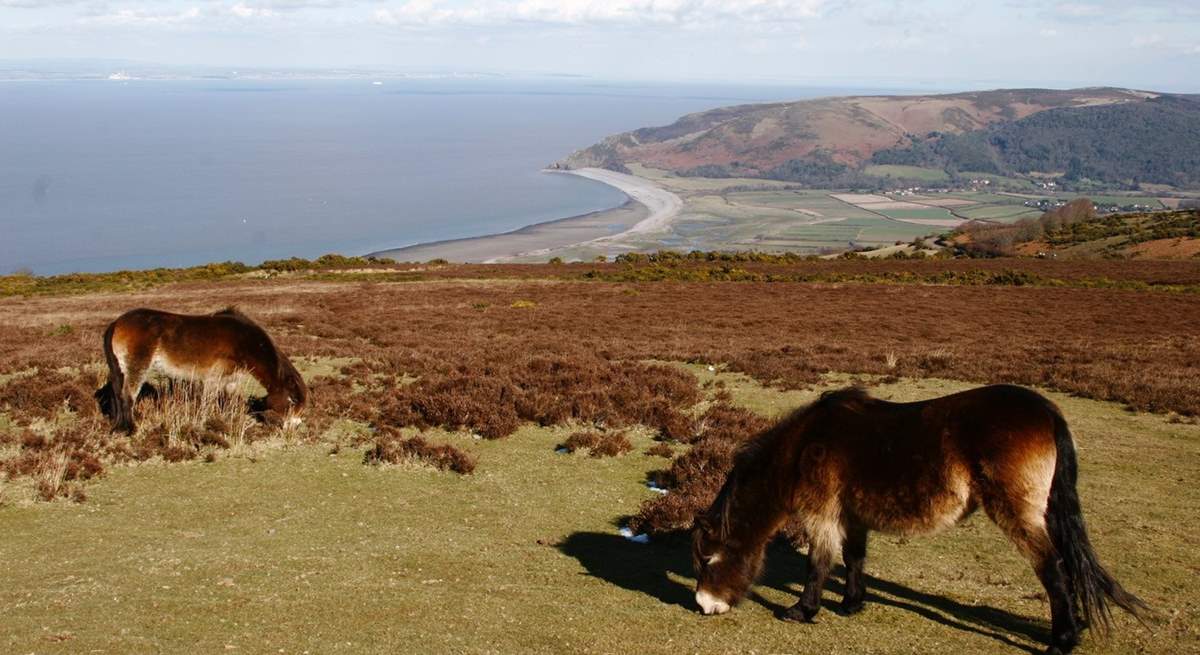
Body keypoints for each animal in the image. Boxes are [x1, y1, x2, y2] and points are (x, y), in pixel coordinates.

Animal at [96, 307, 307, 434]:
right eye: (292, 400)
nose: (295, 427)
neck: (243, 341)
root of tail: (116, 323)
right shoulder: (214, 378)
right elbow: (210, 401)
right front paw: (210, 423)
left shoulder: (230, 379)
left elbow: (228, 401)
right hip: (136, 367)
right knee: (127, 395)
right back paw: (131, 428)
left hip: (120, 370)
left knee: (116, 394)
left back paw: (118, 426)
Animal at [691, 381, 1147, 652]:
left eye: (709, 559)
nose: (704, 606)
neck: (804, 448)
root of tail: (1048, 412)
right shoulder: (852, 516)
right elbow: (854, 558)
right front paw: (851, 604)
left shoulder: (822, 516)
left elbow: (818, 564)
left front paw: (802, 611)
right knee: (1068, 561)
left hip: (1018, 512)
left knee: (1051, 565)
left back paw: (1062, 640)